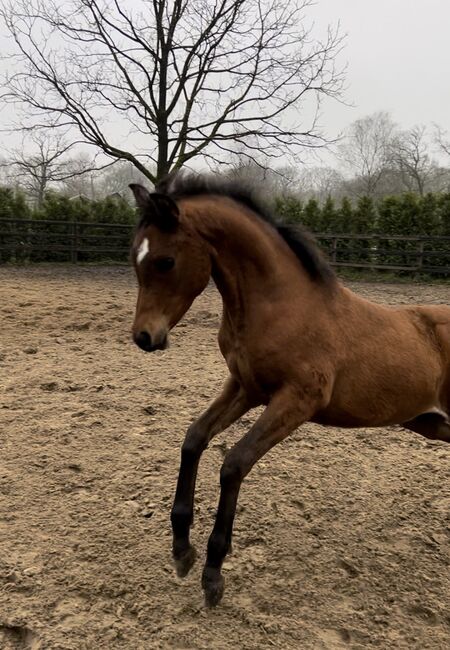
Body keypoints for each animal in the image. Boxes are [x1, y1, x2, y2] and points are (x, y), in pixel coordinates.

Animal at [129, 175, 450, 604]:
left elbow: (234, 464)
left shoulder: (297, 400)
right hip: (432, 423)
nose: (145, 337)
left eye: (166, 261)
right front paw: (182, 549)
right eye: (135, 257)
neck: (281, 307)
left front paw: (213, 574)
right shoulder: (246, 388)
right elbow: (194, 439)